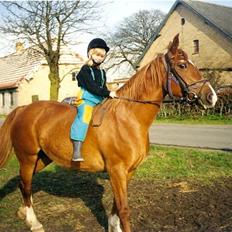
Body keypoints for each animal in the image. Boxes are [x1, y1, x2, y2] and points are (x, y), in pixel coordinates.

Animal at [0, 35, 218, 232]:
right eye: (182, 65)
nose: (211, 97)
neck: (128, 118)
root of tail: (23, 109)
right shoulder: (117, 170)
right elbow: (124, 209)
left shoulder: (128, 171)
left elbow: (116, 205)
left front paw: (113, 227)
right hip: (28, 157)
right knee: (26, 184)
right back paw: (34, 223)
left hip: (42, 158)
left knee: (23, 183)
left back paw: (24, 213)